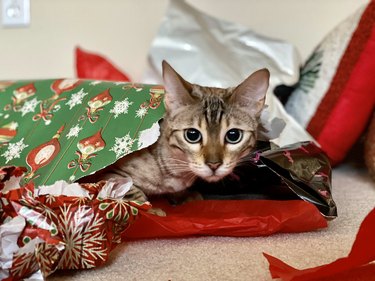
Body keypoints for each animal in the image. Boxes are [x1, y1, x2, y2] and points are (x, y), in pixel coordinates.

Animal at [95, 60, 268, 201]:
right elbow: (131, 192)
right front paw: (153, 210)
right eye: (192, 135)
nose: (214, 165)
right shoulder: (109, 175)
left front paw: (185, 196)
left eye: (233, 135)